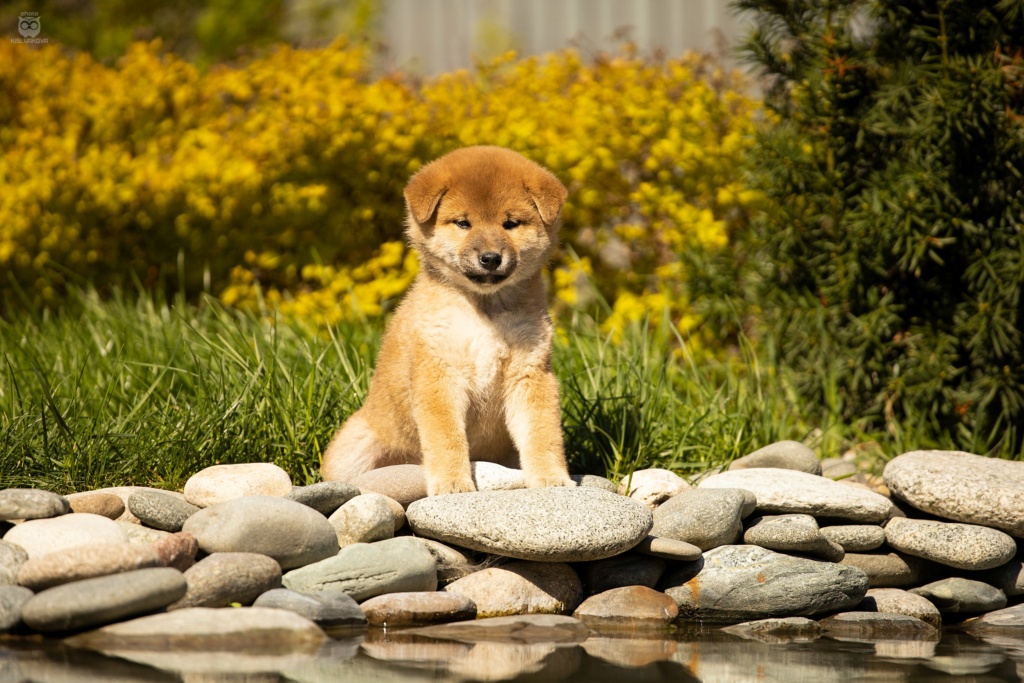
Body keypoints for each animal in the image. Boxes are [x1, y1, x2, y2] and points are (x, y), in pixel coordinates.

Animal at [321, 145, 577, 497]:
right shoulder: (439, 374)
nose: (490, 258)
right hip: (355, 447)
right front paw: (453, 483)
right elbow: (447, 438)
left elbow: (543, 434)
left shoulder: (530, 373)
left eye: (510, 223)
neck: (484, 310)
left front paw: (552, 478)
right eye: (463, 223)